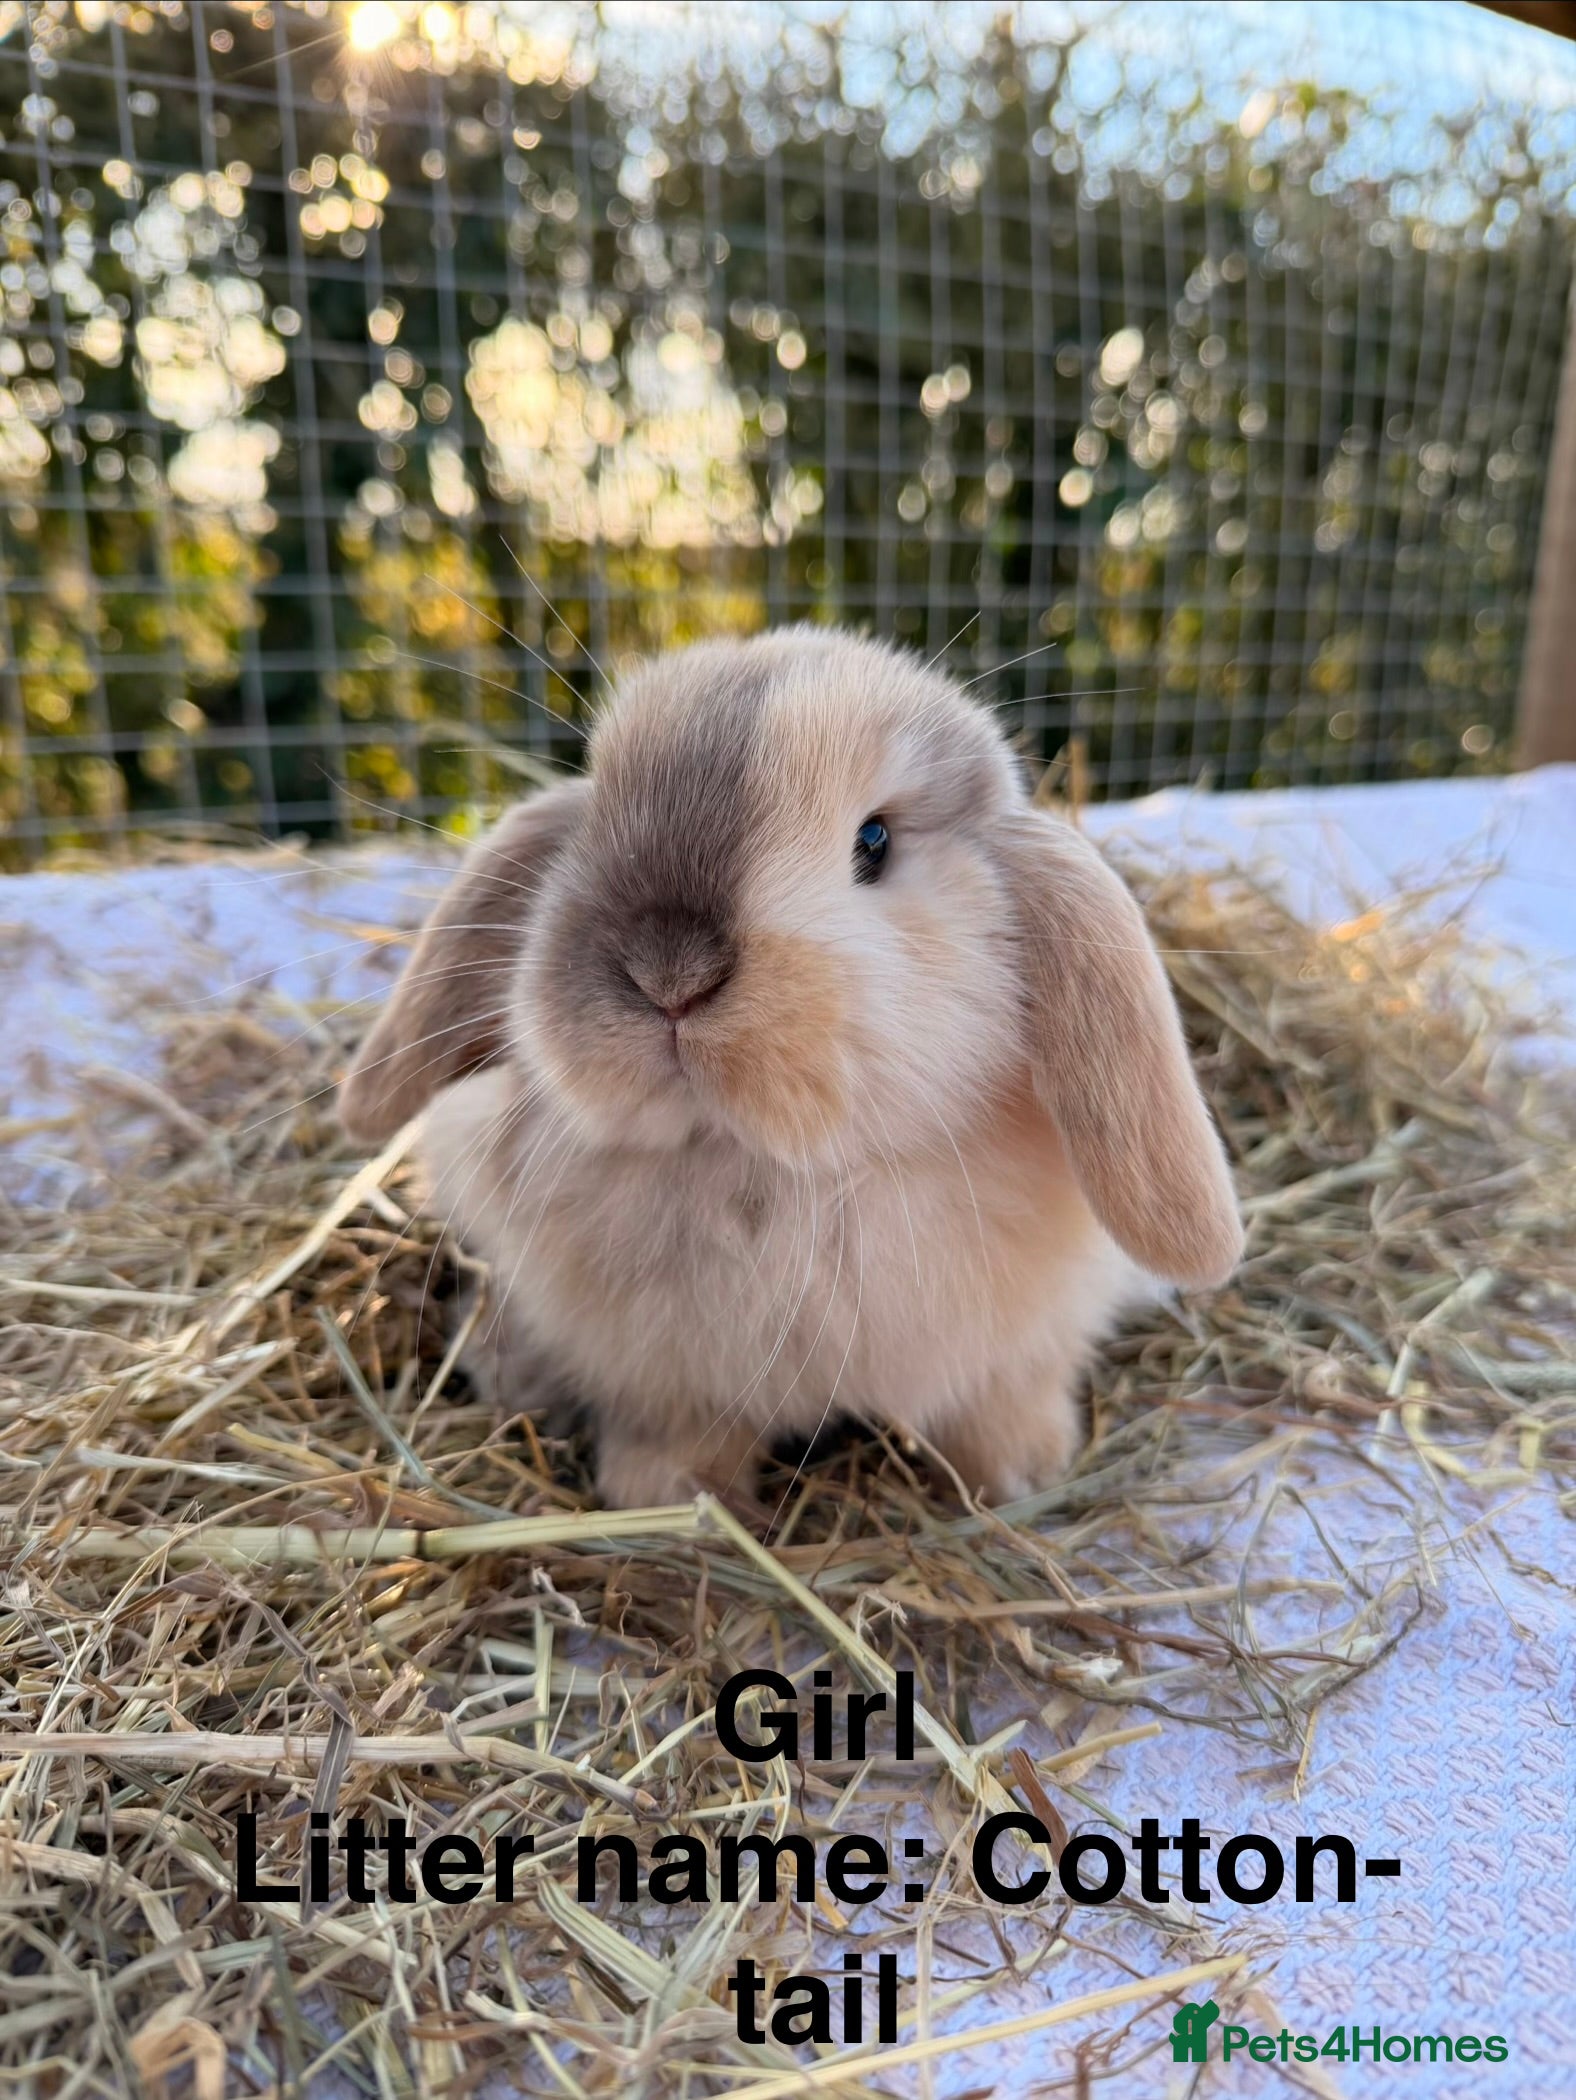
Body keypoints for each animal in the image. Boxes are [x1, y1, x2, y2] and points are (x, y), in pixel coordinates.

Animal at [339, 628, 1241, 1510]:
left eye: (874, 842)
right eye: (597, 814)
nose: (669, 974)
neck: (772, 1178)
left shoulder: (1016, 1350)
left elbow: (998, 1407)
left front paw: (1025, 1473)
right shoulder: (667, 1386)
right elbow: (676, 1437)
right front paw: (668, 1499)